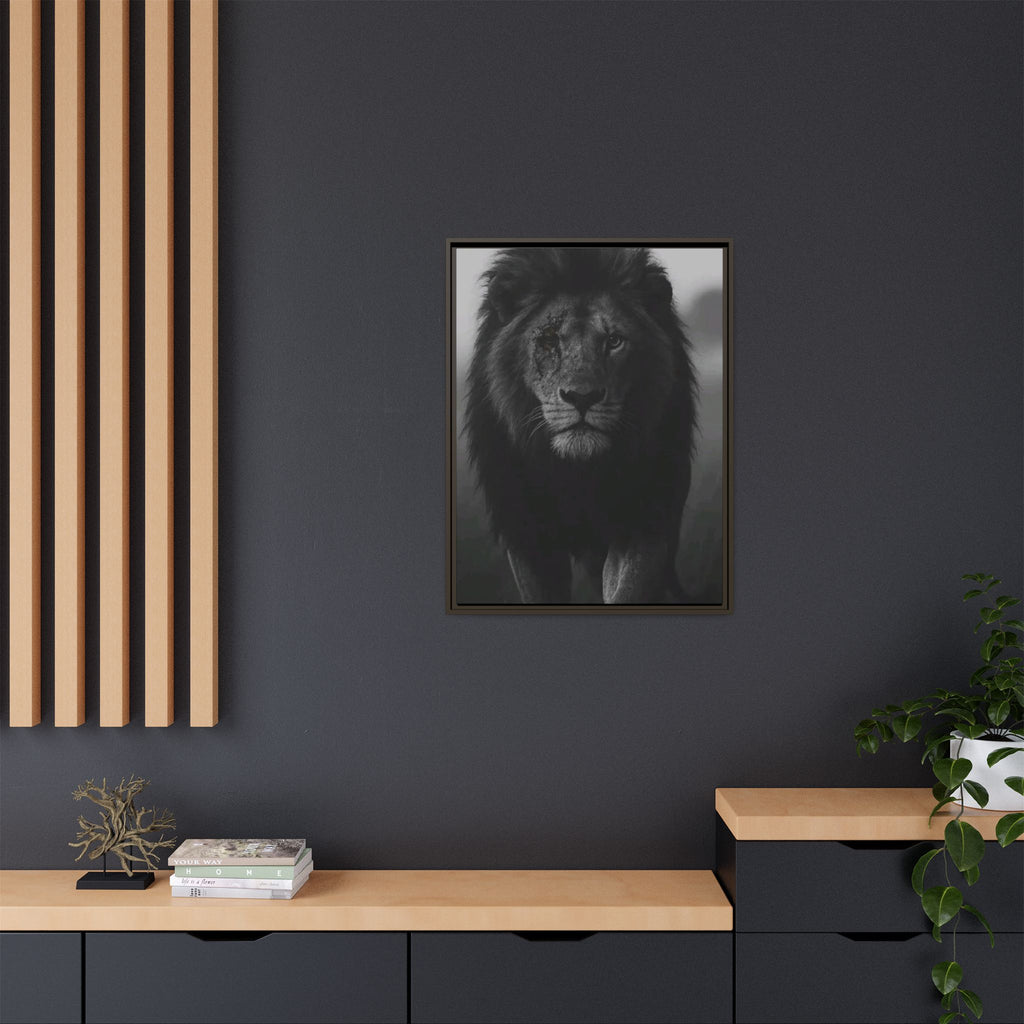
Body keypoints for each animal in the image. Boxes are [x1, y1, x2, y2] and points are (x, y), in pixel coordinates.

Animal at [463, 246, 697, 604]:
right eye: (549, 340)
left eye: (614, 341)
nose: (582, 397)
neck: (579, 473)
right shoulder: (526, 532)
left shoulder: (644, 520)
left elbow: (629, 588)